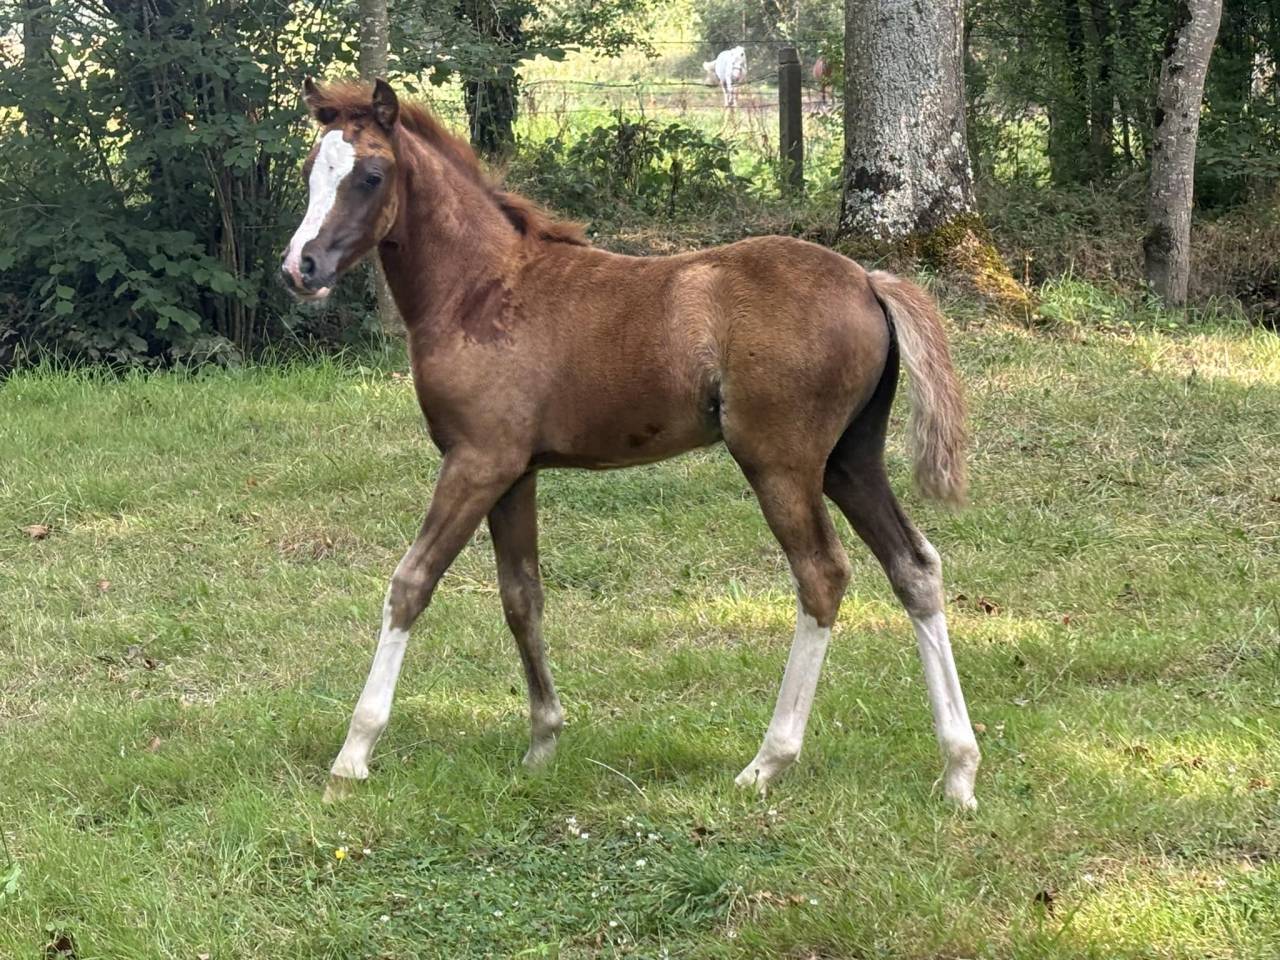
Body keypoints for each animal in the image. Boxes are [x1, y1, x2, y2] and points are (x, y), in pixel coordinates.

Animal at [280, 79, 981, 809]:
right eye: (309, 172)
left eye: (370, 174)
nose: (301, 267)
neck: (481, 290)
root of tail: (869, 280)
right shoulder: (515, 471)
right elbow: (521, 596)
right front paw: (542, 743)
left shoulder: (476, 462)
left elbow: (411, 583)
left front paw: (354, 752)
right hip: (849, 460)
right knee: (914, 567)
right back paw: (959, 770)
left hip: (781, 463)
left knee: (822, 575)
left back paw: (768, 760)